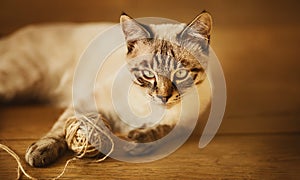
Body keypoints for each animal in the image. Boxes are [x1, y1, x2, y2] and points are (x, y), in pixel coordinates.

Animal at [0, 10, 212, 166]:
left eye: (181, 73)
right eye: (148, 74)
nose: (163, 97)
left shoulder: (185, 125)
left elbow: (165, 131)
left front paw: (137, 141)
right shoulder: (86, 101)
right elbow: (61, 129)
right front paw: (41, 151)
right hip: (16, 81)